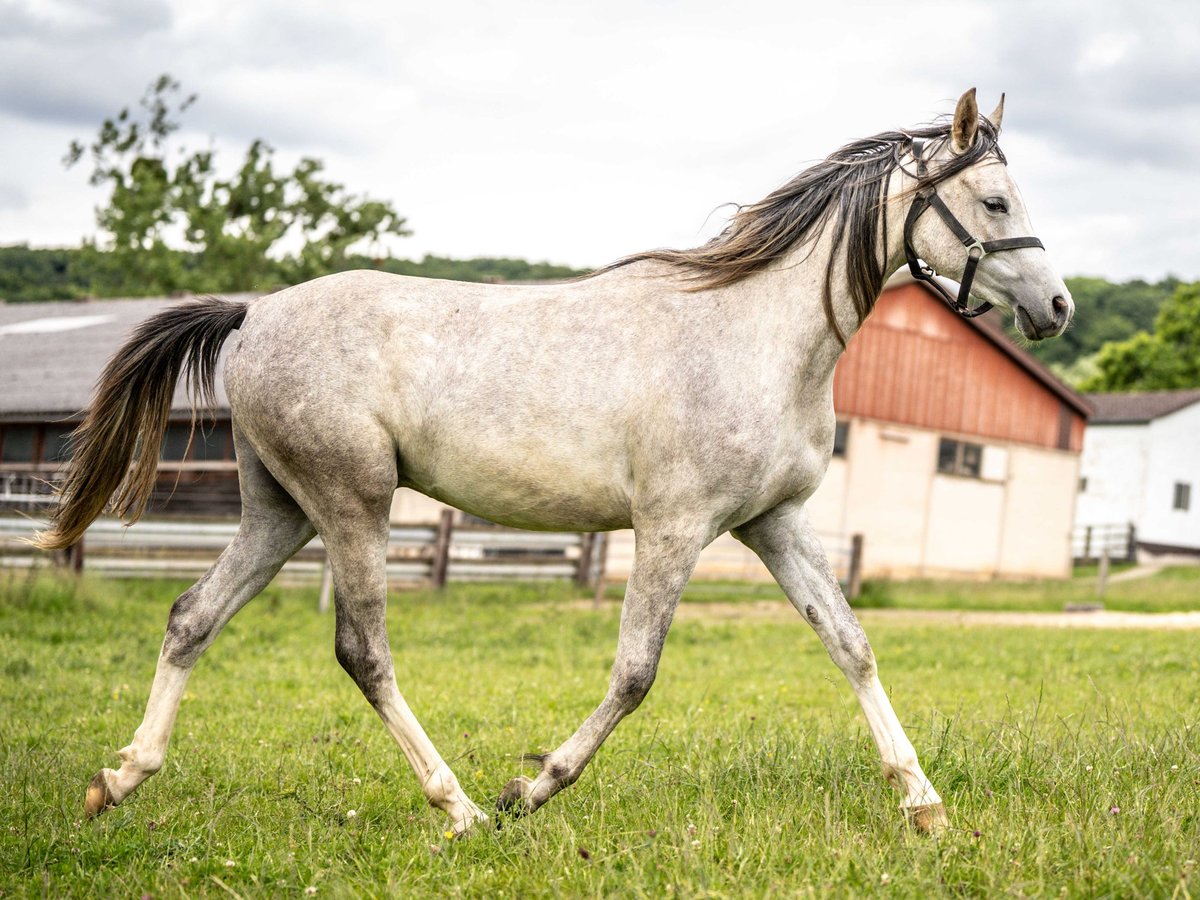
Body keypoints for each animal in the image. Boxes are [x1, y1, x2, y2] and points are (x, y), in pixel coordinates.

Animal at [37, 88, 1070, 835]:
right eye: (993, 201)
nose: (1057, 307)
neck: (757, 335)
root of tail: (254, 315)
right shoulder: (673, 529)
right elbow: (635, 673)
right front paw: (531, 789)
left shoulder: (772, 524)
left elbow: (850, 643)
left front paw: (923, 803)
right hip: (353, 502)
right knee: (362, 651)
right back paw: (459, 809)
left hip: (280, 511)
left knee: (191, 618)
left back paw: (116, 781)